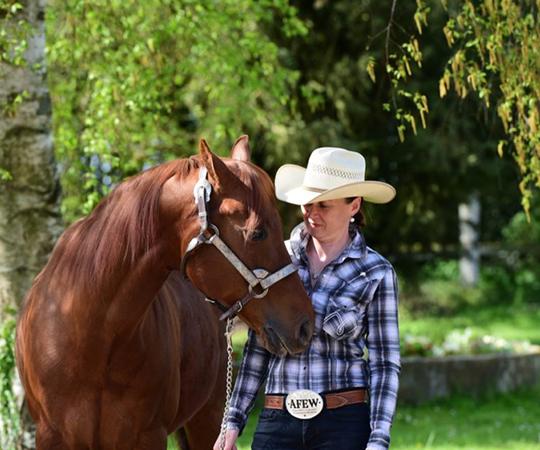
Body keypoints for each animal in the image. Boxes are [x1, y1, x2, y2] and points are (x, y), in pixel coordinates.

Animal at [16, 137, 314, 450]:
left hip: (207, 420)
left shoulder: (148, 436)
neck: (94, 338)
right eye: (257, 233)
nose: (305, 325)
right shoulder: (51, 437)